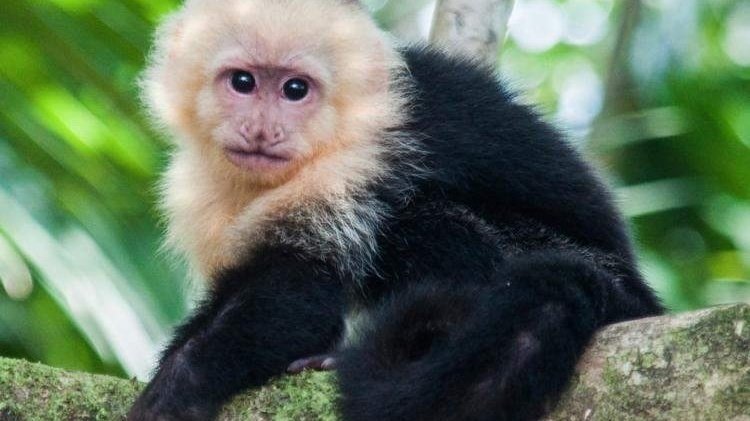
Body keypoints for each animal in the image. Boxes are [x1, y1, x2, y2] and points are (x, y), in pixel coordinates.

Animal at [128, 0, 662, 420]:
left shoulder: (364, 155)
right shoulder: (193, 192)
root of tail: (639, 300)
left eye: (295, 90)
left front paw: (180, 385)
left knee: (423, 223)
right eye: (242, 82)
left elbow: (299, 286)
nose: (262, 131)